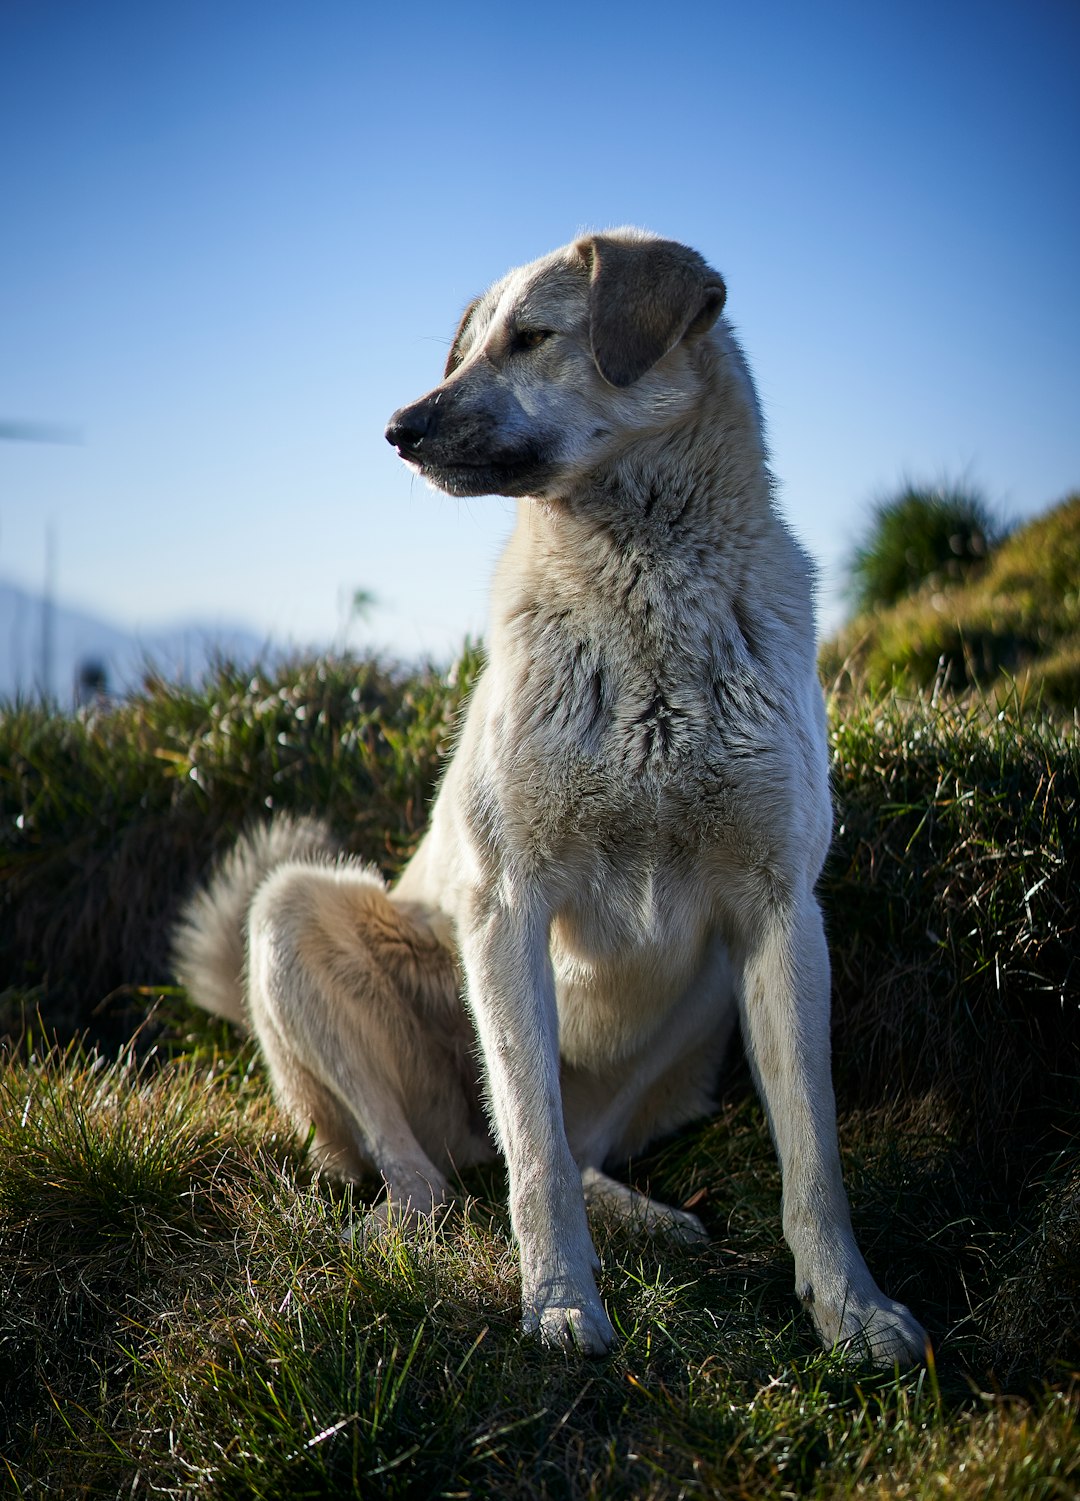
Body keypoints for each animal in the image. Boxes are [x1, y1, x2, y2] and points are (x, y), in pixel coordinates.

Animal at [173, 228, 924, 1368]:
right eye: (465, 350)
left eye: (532, 338)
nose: (399, 427)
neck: (647, 588)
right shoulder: (507, 903)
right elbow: (532, 1142)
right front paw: (562, 1304)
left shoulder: (779, 910)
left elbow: (814, 1150)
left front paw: (853, 1308)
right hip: (296, 921)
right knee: (435, 1165)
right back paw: (407, 1226)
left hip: (702, 1002)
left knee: (588, 1150)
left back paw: (647, 1215)